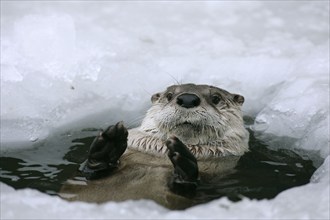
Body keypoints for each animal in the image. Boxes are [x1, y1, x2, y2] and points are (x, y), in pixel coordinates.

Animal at [59, 83, 249, 210]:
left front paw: (183, 164)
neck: (157, 158)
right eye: (170, 95)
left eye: (216, 98)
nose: (188, 98)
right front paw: (108, 146)